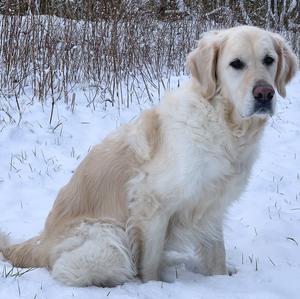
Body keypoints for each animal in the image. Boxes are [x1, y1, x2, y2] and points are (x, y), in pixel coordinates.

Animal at [0, 25, 296, 288]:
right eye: (236, 63)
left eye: (269, 60)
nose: (264, 93)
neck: (223, 124)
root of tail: (41, 240)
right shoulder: (151, 203)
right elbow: (150, 262)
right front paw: (154, 286)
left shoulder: (211, 206)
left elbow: (216, 256)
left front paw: (221, 279)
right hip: (108, 242)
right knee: (73, 268)